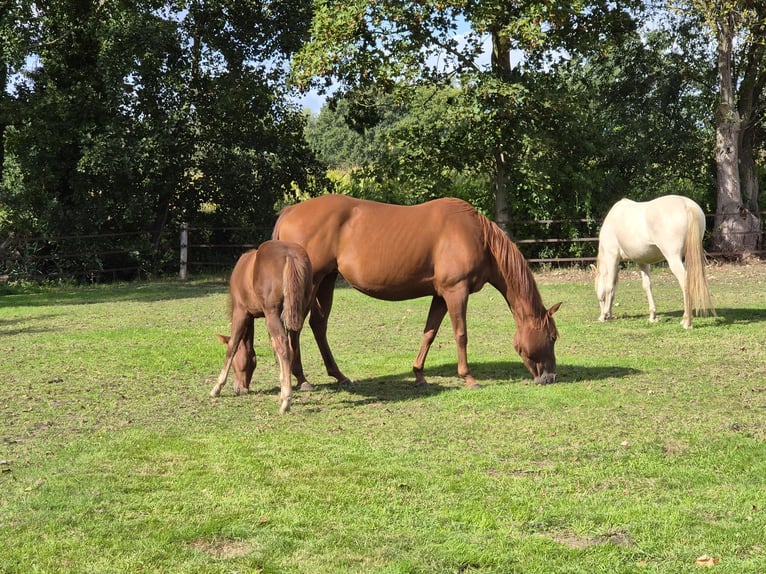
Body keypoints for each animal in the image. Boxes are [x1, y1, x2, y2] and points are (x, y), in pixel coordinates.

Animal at [209, 240, 313, 414]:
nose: (239, 389)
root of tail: (289, 254)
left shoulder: (241, 312)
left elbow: (232, 345)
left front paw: (217, 387)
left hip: (272, 313)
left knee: (284, 346)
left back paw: (286, 401)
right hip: (297, 311)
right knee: (291, 345)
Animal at [272, 194, 561, 388]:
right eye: (552, 337)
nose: (550, 378)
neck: (477, 236)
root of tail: (290, 210)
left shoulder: (440, 295)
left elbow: (429, 334)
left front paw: (419, 374)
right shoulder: (456, 292)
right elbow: (461, 334)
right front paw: (468, 378)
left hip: (327, 280)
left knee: (318, 325)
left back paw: (338, 376)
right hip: (310, 282)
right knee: (295, 326)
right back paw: (303, 380)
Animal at [595, 195, 715, 329]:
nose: (603, 314)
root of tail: (686, 204)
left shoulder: (612, 257)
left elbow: (609, 286)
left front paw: (604, 315)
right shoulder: (642, 261)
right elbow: (646, 286)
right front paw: (652, 316)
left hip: (673, 257)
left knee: (685, 281)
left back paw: (687, 322)